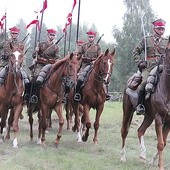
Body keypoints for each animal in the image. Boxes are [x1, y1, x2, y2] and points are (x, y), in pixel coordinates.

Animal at [120, 36, 170, 169]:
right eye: (168, 49)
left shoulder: (168, 121)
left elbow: (164, 142)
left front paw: (154, 161)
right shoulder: (159, 118)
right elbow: (160, 143)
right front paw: (160, 166)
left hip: (148, 116)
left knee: (140, 130)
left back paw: (142, 155)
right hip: (127, 111)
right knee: (124, 131)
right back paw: (122, 157)